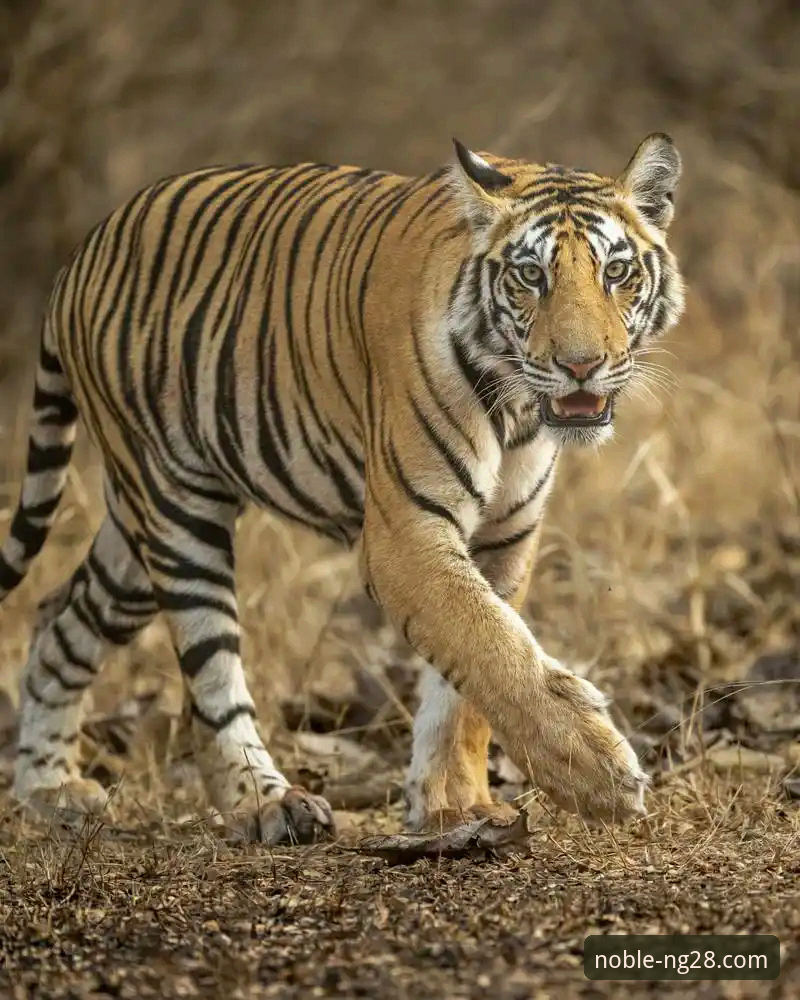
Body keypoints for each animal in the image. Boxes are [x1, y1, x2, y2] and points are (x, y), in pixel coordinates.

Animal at [0, 133, 684, 843]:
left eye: (616, 272)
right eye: (530, 276)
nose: (581, 366)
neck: (520, 409)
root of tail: (83, 251)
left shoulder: (506, 538)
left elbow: (468, 687)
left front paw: (455, 805)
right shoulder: (404, 536)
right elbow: (488, 645)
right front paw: (595, 771)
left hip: (132, 542)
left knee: (57, 620)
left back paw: (47, 787)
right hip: (175, 513)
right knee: (209, 678)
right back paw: (265, 802)